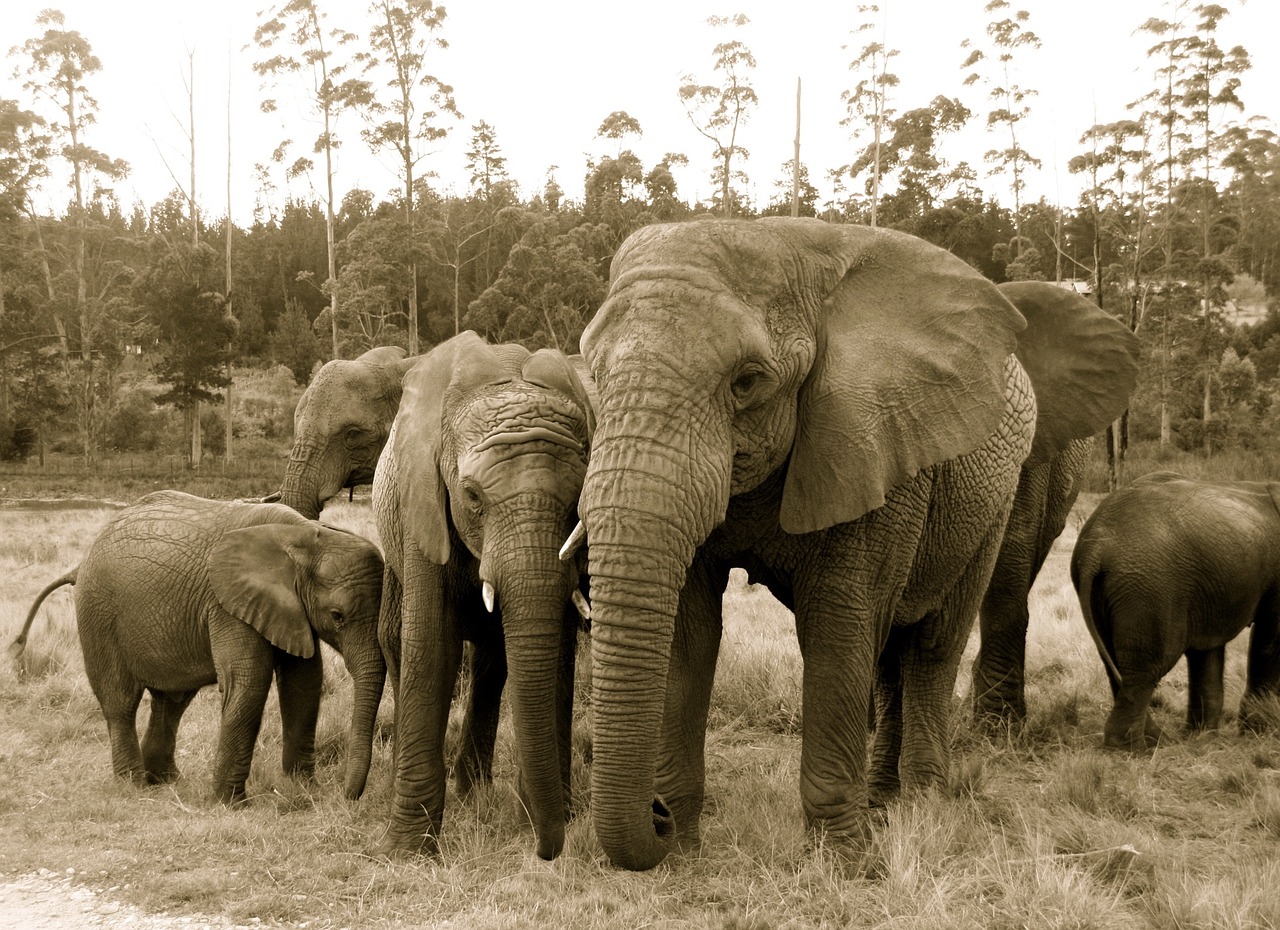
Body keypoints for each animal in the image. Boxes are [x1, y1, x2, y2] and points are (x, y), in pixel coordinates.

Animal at [11, 491, 384, 803]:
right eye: (337, 616)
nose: (345, 796)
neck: (305, 536)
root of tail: (80, 563)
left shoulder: (289, 608)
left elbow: (304, 682)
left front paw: (302, 790)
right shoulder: (226, 603)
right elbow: (249, 682)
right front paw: (229, 804)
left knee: (172, 701)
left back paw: (163, 779)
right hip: (98, 611)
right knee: (120, 701)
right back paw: (134, 784)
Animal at [368, 330, 591, 859]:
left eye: (577, 499)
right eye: (471, 496)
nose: (545, 851)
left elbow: (556, 654)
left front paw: (544, 815)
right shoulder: (423, 500)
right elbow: (432, 647)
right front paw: (404, 850)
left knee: (494, 661)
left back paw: (474, 793)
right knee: (397, 641)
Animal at [1070, 468, 1280, 752]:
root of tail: (1095, 546)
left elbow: (1207, 651)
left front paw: (1202, 738)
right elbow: (1269, 639)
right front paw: (1260, 733)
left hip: (1107, 590)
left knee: (1115, 662)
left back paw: (1155, 740)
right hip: (1149, 586)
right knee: (1146, 668)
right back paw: (1134, 749)